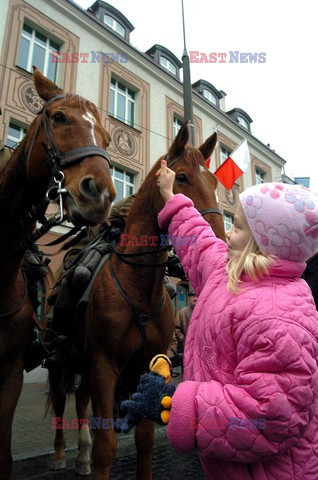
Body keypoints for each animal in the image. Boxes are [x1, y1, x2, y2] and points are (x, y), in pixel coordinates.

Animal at [48, 122, 225, 478]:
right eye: (181, 177)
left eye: (214, 183)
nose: (222, 241)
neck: (138, 286)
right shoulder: (104, 365)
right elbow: (106, 446)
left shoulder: (145, 363)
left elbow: (144, 440)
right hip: (61, 363)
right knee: (61, 402)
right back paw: (61, 453)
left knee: (81, 401)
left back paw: (81, 457)